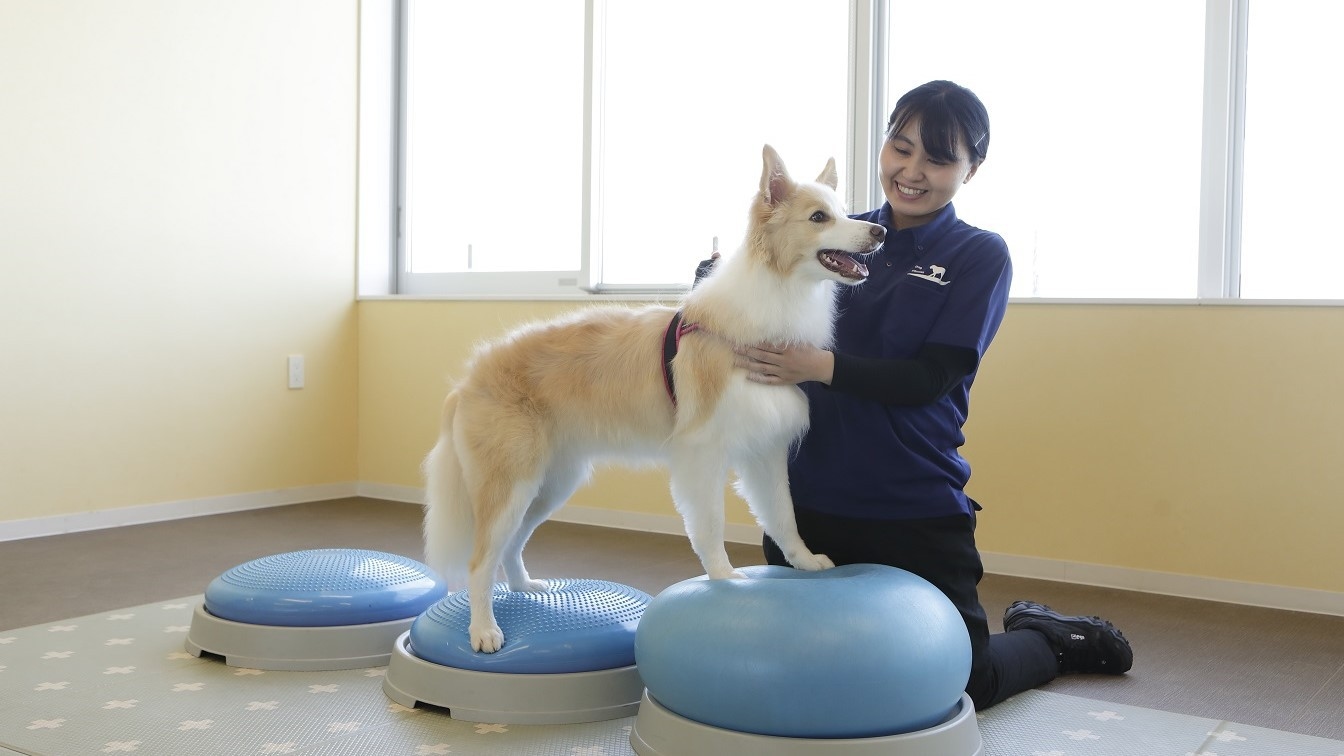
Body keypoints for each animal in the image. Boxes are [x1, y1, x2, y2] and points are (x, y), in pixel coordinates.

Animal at [419, 143, 881, 651]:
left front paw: (804, 562)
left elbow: (783, 515)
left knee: (512, 543)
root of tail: (468, 379)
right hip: (511, 482)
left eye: (845, 213)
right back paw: (484, 630)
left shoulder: (765, 449)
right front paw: (724, 578)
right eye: (819, 217)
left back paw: (525, 588)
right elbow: (711, 523)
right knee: (480, 559)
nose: (879, 231)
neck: (775, 295)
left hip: (549, 483)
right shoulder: (701, 453)